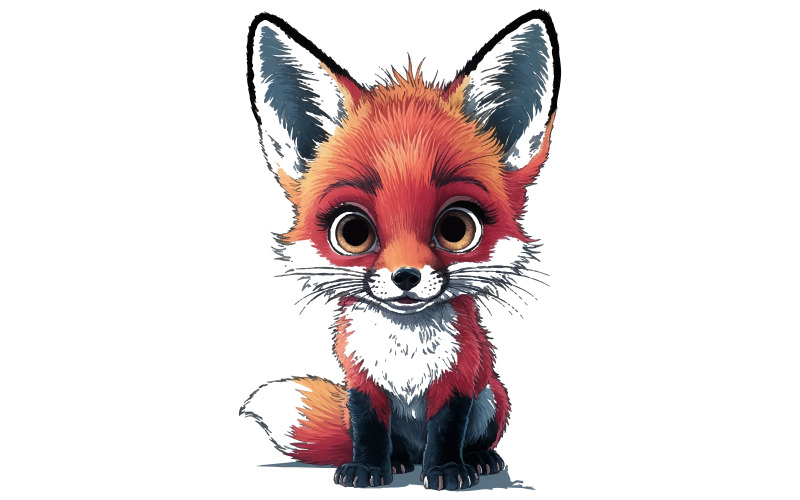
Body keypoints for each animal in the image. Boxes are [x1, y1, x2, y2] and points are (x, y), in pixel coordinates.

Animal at [240, 10, 560, 491]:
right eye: (352, 231)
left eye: (456, 228)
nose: (406, 276)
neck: (405, 348)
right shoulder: (360, 380)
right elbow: (368, 427)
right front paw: (368, 469)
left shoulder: (460, 378)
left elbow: (447, 429)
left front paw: (446, 471)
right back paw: (400, 462)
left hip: (493, 396)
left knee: (475, 434)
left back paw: (478, 459)